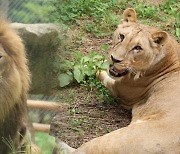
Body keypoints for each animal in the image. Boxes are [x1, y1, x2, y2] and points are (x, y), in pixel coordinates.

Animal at [57, 8, 180, 154]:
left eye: (138, 48)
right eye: (121, 36)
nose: (115, 59)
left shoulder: (120, 92)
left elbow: (100, 73)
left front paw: (88, 65)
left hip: (116, 139)